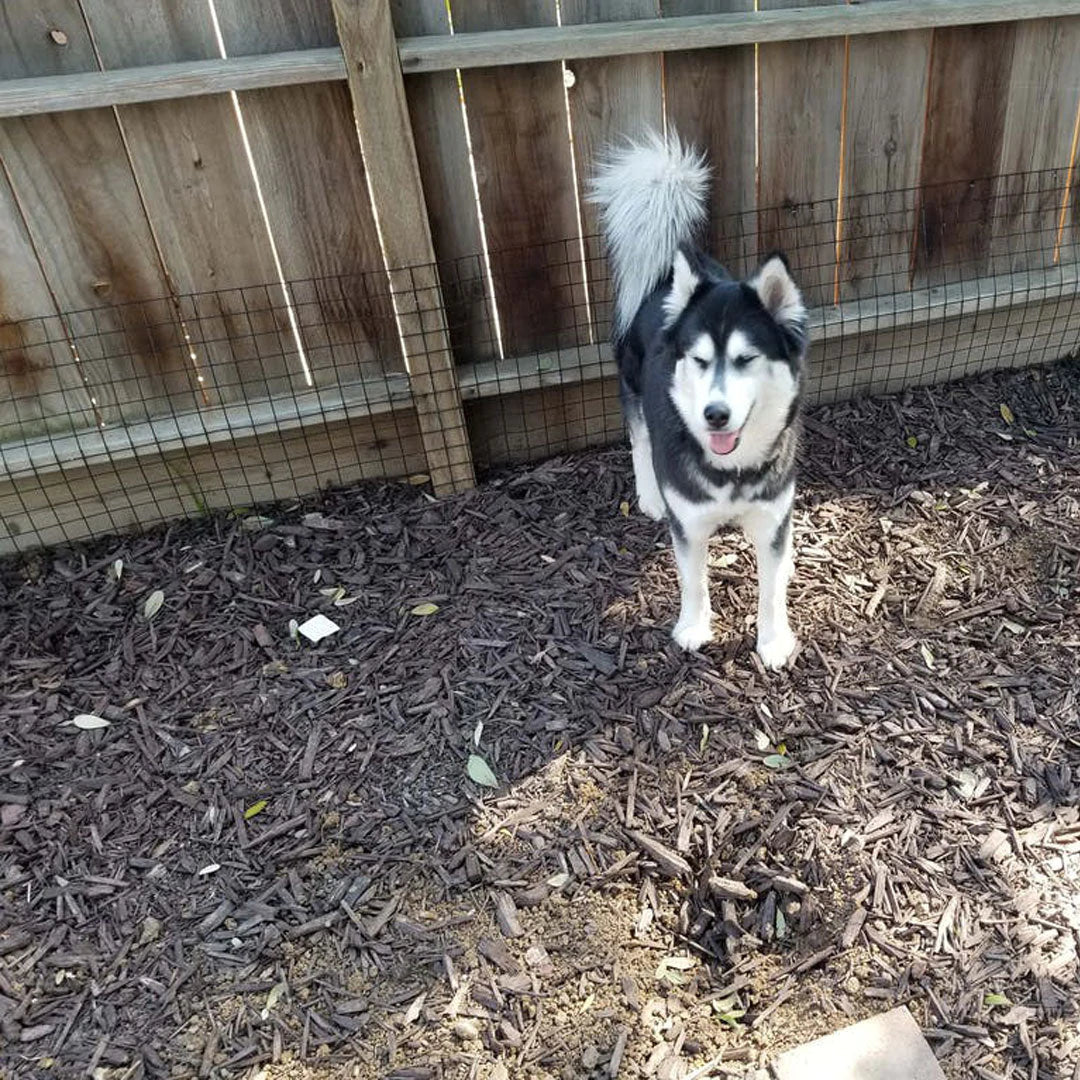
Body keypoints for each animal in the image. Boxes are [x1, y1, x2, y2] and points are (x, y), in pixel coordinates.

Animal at [591, 132, 812, 665]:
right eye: (698, 359)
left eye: (746, 359)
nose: (715, 415)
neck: (732, 472)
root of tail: (664, 278)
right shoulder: (689, 525)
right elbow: (693, 581)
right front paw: (693, 627)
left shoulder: (771, 516)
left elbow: (771, 587)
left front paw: (773, 639)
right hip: (631, 386)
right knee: (640, 441)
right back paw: (648, 493)